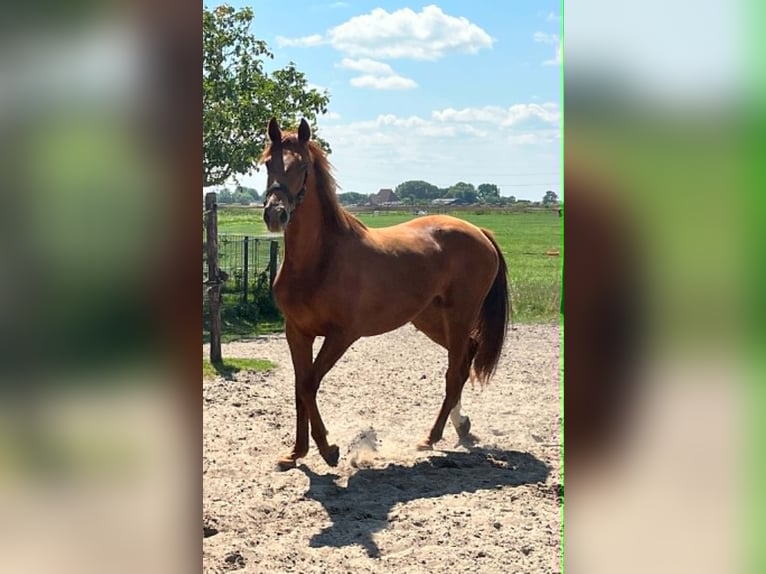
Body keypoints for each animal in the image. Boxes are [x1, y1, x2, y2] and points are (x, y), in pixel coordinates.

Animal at [261, 117, 510, 470]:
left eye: (302, 167)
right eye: (268, 163)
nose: (275, 214)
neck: (320, 259)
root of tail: (480, 232)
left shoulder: (342, 335)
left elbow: (309, 385)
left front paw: (328, 449)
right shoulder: (296, 332)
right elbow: (300, 387)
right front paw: (296, 452)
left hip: (459, 315)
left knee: (454, 372)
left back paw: (430, 437)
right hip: (430, 319)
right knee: (465, 360)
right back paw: (460, 426)